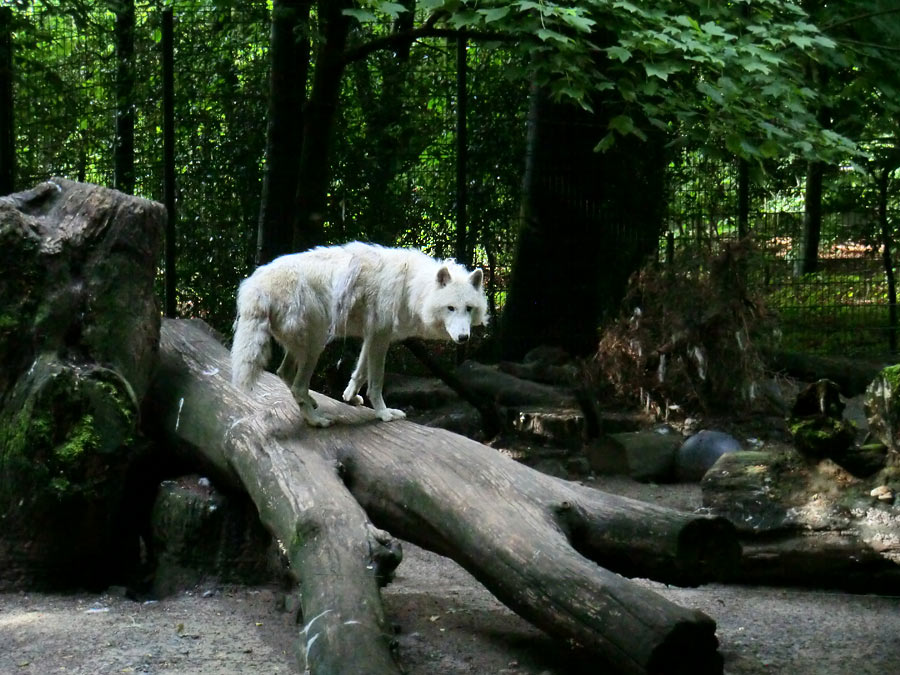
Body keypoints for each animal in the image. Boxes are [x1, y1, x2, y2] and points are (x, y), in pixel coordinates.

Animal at [229, 240, 488, 426]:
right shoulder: (381, 337)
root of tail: (255, 287)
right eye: (450, 308)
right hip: (315, 345)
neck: (412, 287)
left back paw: (311, 404)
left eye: (469, 308)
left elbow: (359, 373)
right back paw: (316, 421)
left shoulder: (373, 335)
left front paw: (349, 396)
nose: (463, 338)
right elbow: (376, 381)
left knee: (284, 373)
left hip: (303, 346)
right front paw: (383, 413)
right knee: (297, 386)